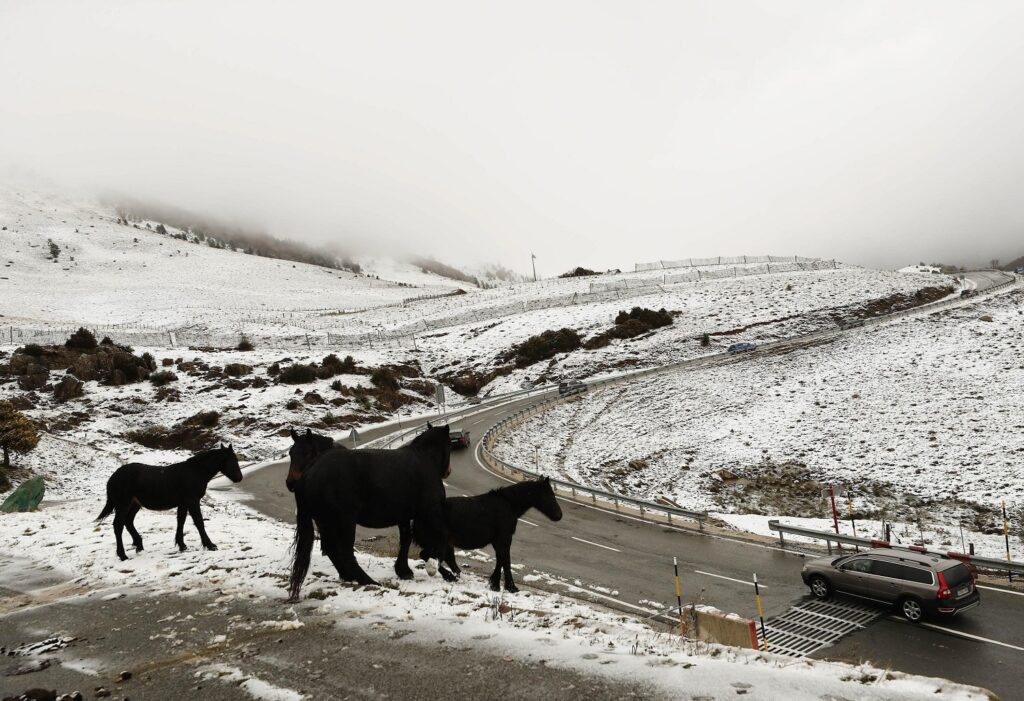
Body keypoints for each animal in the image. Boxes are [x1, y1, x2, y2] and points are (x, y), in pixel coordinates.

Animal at [96, 446, 243, 560]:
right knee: (118, 526)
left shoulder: (183, 503)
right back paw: (122, 555)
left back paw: (139, 545)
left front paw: (182, 545)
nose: (239, 478)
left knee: (128, 522)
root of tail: (113, 478)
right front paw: (210, 545)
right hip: (123, 505)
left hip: (134, 504)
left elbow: (181, 521)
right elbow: (199, 522)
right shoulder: (192, 501)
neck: (195, 472)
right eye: (233, 460)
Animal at [286, 423, 450, 597]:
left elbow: (406, 540)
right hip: (345, 521)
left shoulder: (404, 517)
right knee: (344, 552)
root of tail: (308, 474)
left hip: (327, 522)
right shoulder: (429, 512)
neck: (424, 460)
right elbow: (439, 539)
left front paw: (404, 570)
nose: (290, 483)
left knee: (332, 549)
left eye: (305, 452)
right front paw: (440, 569)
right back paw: (368, 581)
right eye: (449, 445)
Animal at [425, 474, 569, 589]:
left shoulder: (498, 540)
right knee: (428, 556)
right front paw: (509, 587)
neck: (509, 504)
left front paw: (495, 583)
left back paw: (455, 576)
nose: (559, 515)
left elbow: (500, 559)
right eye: (549, 494)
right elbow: (505, 559)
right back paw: (450, 576)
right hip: (439, 541)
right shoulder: (505, 538)